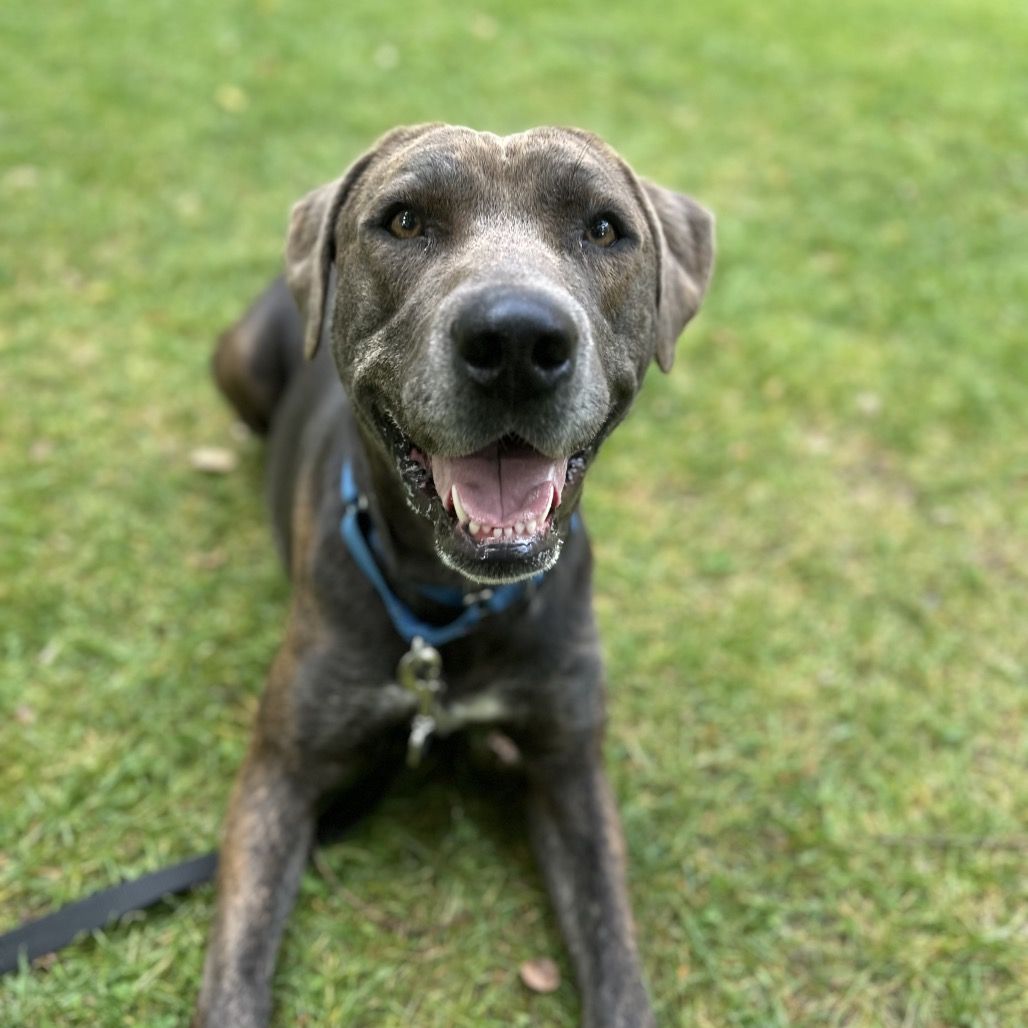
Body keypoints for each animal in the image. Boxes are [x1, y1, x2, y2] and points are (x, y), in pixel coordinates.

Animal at [194, 123, 714, 1027]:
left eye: (604, 228)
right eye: (404, 221)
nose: (517, 341)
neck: (454, 610)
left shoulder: (572, 770)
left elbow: (615, 955)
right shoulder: (280, 771)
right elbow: (235, 962)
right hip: (241, 359)